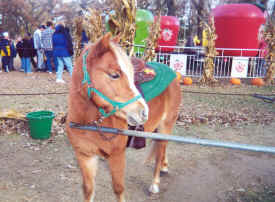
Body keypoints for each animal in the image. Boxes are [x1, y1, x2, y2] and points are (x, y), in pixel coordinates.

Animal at [66, 33, 183, 202]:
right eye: (114, 75)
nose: (143, 112)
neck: (88, 123)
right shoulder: (85, 156)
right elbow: (88, 190)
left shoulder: (117, 156)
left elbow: (118, 189)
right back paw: (164, 166)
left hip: (165, 125)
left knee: (160, 150)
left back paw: (155, 183)